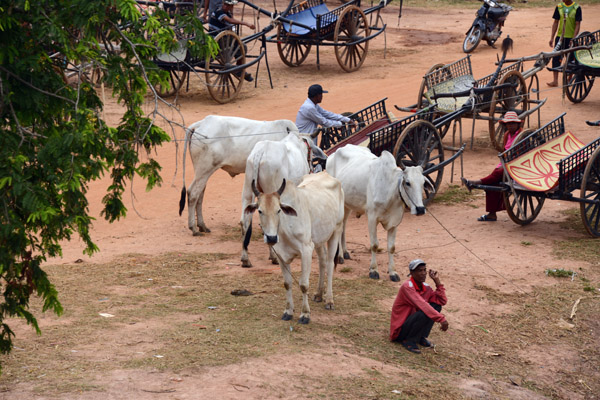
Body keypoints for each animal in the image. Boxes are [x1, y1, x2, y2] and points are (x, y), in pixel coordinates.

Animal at [243, 173, 344, 324]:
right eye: (260, 211)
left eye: (279, 210)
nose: (271, 238)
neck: (285, 227)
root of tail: (326, 174)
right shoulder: (280, 255)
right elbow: (287, 283)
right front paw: (288, 311)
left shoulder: (306, 250)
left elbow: (303, 284)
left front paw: (305, 314)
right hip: (318, 240)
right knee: (322, 261)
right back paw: (319, 294)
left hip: (336, 230)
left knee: (330, 264)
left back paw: (329, 300)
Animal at [326, 144, 434, 282]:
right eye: (407, 182)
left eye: (423, 183)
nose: (420, 209)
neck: (390, 190)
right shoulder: (372, 218)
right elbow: (374, 245)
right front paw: (373, 270)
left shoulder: (394, 222)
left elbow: (391, 247)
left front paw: (393, 272)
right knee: (339, 229)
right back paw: (339, 256)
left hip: (348, 204)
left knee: (343, 226)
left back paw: (345, 252)